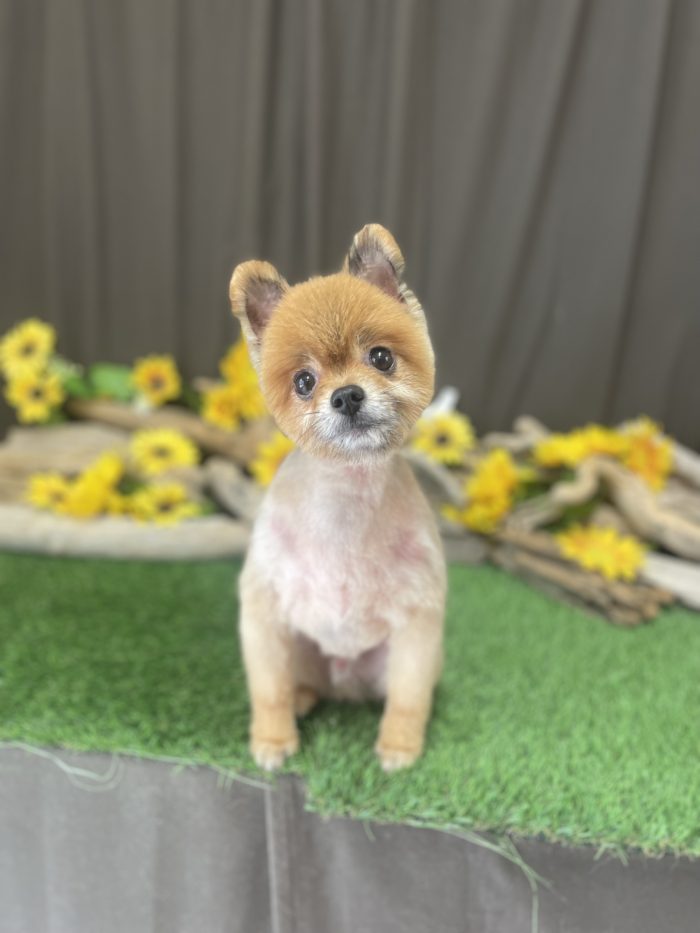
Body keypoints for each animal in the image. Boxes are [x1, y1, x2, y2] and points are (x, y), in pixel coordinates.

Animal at [229, 224, 446, 771]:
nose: (347, 395)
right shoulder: (265, 615)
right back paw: (303, 699)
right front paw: (273, 740)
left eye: (382, 357)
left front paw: (399, 748)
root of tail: (345, 683)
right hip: (304, 651)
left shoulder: (417, 625)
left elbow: (409, 697)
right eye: (304, 381)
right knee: (299, 684)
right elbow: (269, 690)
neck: (347, 496)